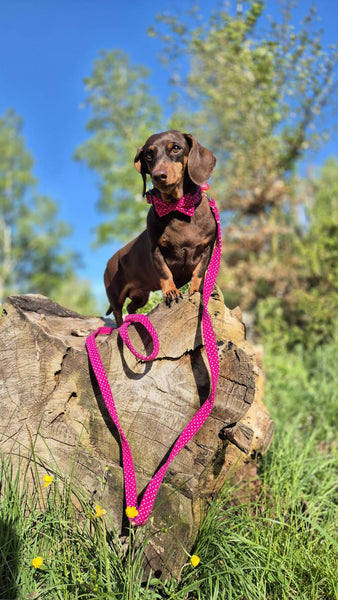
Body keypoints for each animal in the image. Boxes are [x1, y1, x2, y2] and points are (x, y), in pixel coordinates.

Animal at [104, 130, 218, 328]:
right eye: (149, 155)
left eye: (176, 148)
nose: (158, 176)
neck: (177, 209)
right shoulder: (156, 249)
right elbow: (165, 273)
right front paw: (171, 292)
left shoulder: (207, 249)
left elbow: (198, 272)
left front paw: (196, 290)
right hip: (116, 295)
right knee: (118, 313)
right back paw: (121, 327)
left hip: (141, 295)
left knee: (131, 307)